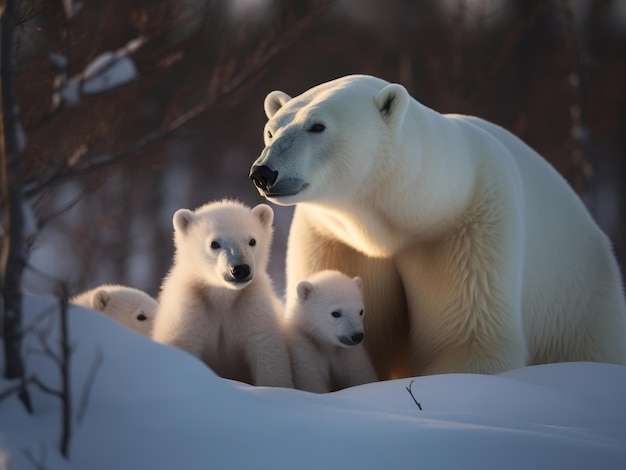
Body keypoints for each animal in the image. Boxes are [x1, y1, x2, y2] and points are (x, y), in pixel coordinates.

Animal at [249, 75, 624, 380]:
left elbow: (468, 341)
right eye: (270, 129)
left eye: (317, 126)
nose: (263, 172)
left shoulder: (468, 231)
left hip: (580, 305)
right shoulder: (335, 238)